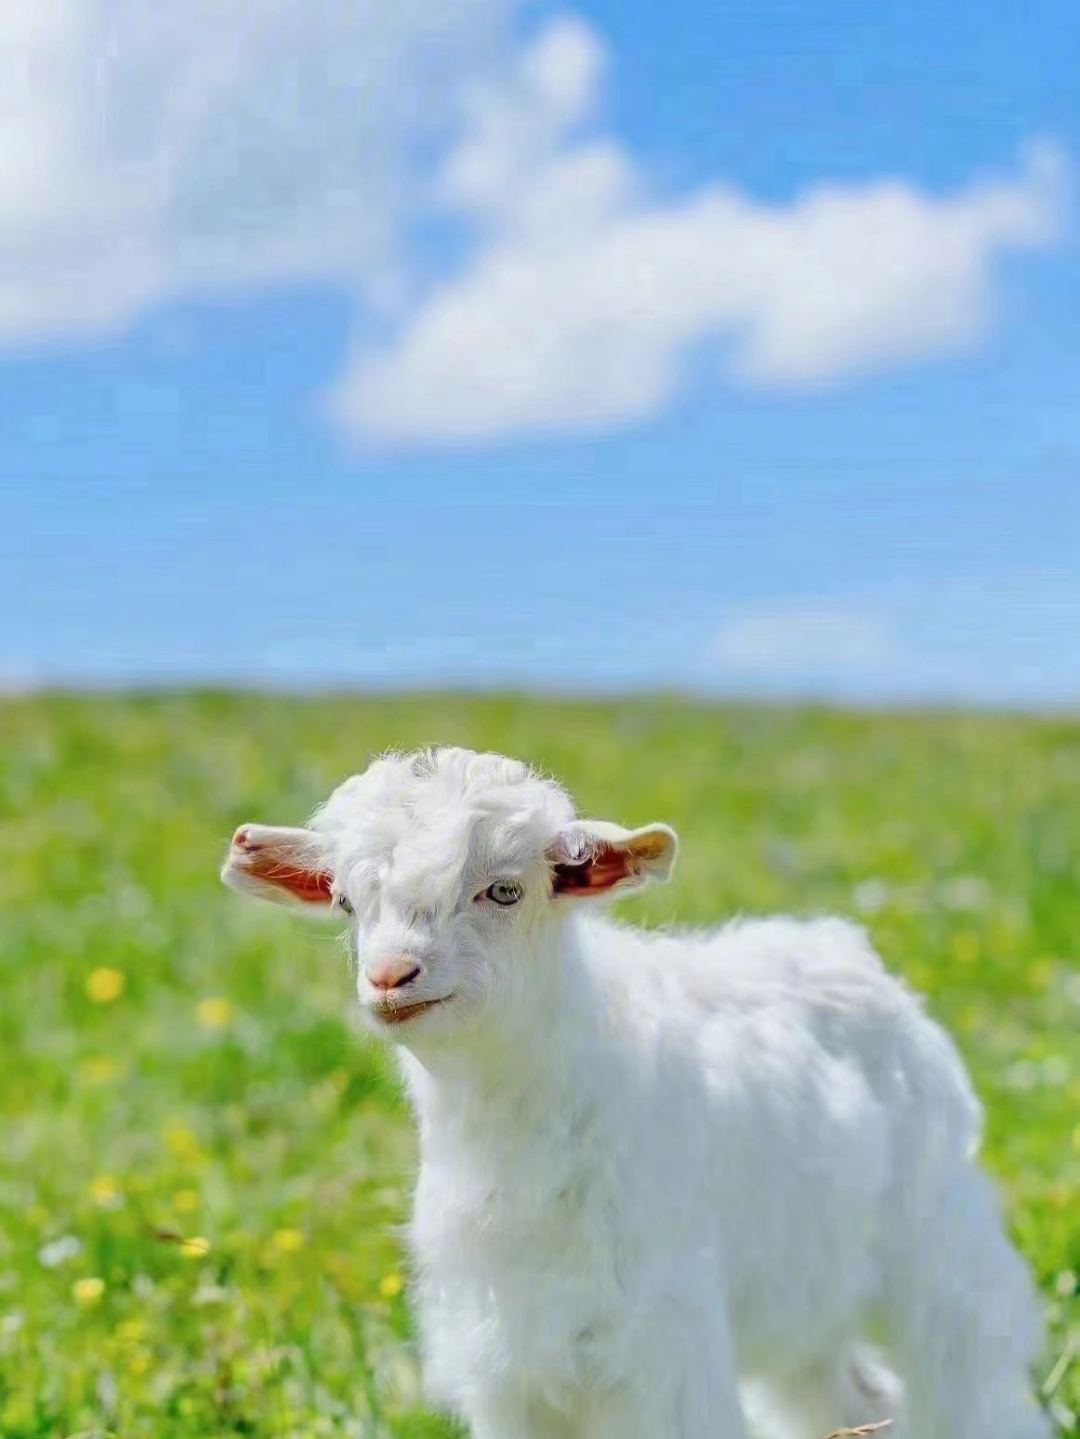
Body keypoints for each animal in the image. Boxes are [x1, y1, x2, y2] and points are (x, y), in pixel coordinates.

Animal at [224, 748, 1052, 1433]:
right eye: (346, 902)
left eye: (504, 889)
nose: (392, 976)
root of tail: (850, 952)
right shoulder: (509, 1363)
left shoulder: (659, 1350)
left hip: (937, 1249)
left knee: (971, 1380)